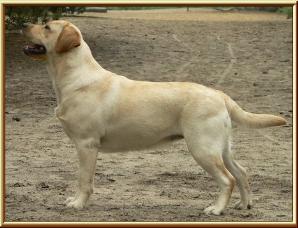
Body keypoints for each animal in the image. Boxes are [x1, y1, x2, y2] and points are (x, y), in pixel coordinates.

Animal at [22, 20, 288, 216]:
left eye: (47, 27)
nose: (24, 24)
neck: (74, 76)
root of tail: (220, 94)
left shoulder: (86, 144)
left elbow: (84, 180)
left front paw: (78, 204)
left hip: (202, 147)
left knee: (228, 178)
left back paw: (216, 209)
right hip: (221, 148)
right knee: (241, 172)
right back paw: (244, 205)